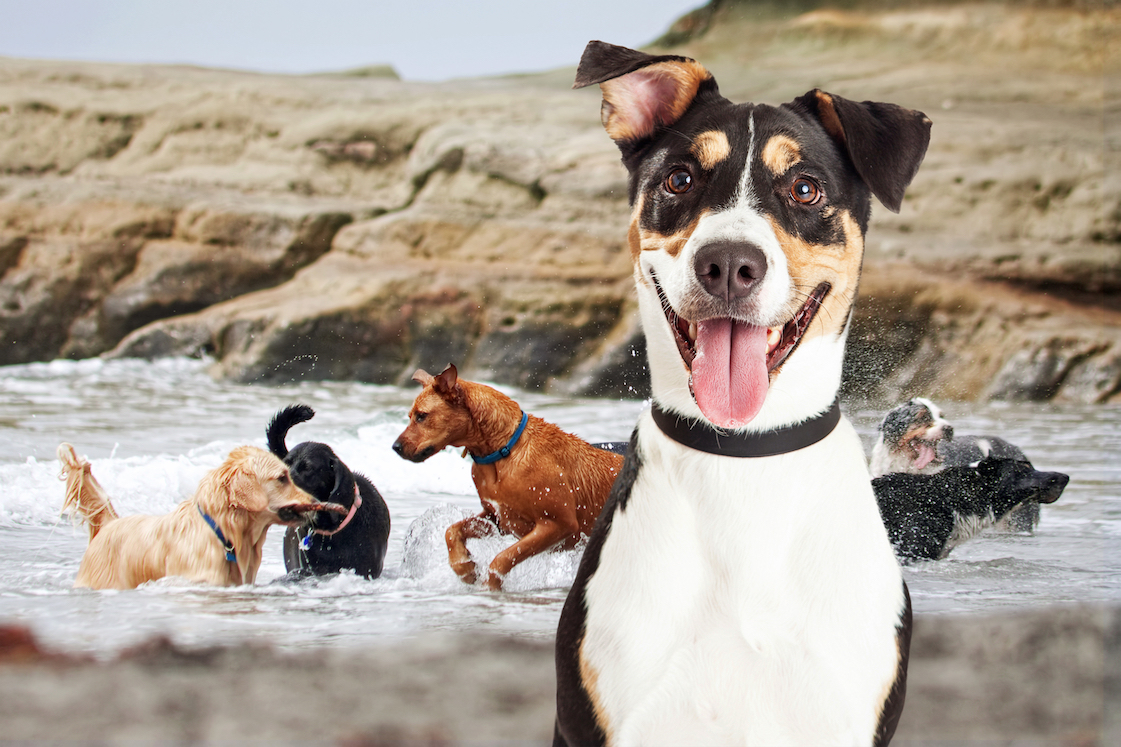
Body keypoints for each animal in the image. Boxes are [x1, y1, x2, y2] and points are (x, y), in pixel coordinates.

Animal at [392, 363, 623, 592]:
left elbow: (502, 558)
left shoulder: (558, 524)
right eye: (410, 416)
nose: (395, 447)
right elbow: (452, 530)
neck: (502, 451)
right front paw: (465, 566)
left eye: (422, 416)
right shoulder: (497, 518)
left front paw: (490, 585)